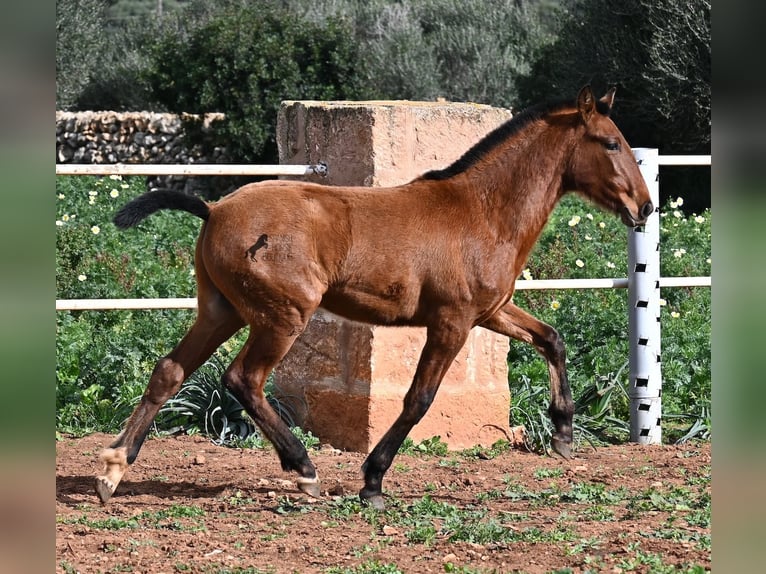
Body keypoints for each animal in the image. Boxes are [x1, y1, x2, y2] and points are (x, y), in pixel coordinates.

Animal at [96, 86, 656, 512]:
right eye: (610, 143)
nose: (645, 207)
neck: (481, 211)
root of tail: (212, 209)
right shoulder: (452, 322)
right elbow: (418, 399)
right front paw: (372, 482)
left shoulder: (490, 312)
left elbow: (551, 339)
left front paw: (563, 433)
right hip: (282, 316)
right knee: (243, 379)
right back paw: (303, 469)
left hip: (221, 310)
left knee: (170, 370)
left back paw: (112, 470)